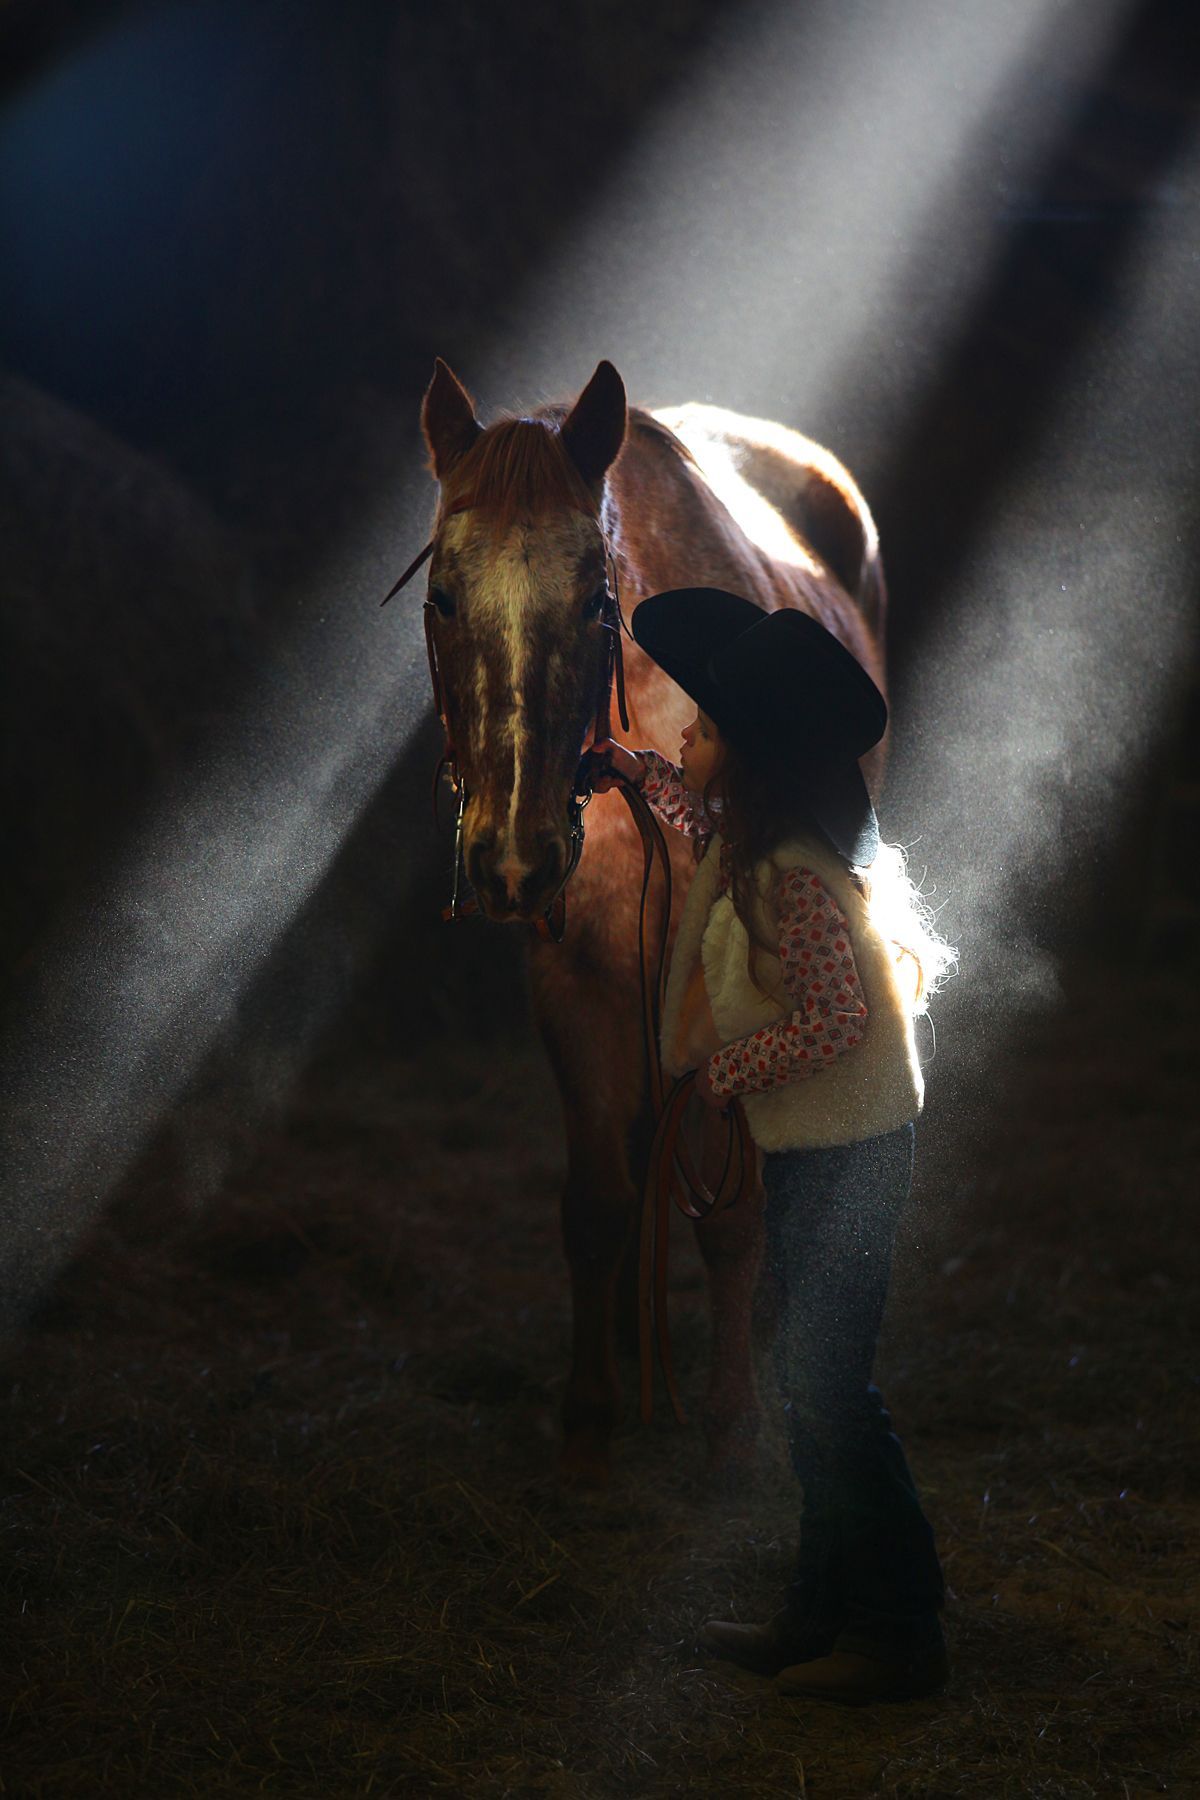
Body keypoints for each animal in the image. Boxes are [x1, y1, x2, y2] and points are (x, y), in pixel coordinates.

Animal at [416, 358, 887, 1487]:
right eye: (443, 598)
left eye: (596, 601)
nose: (511, 857)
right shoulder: (577, 975)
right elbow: (597, 1196)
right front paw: (590, 1418)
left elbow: (732, 1218)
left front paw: (731, 1429)